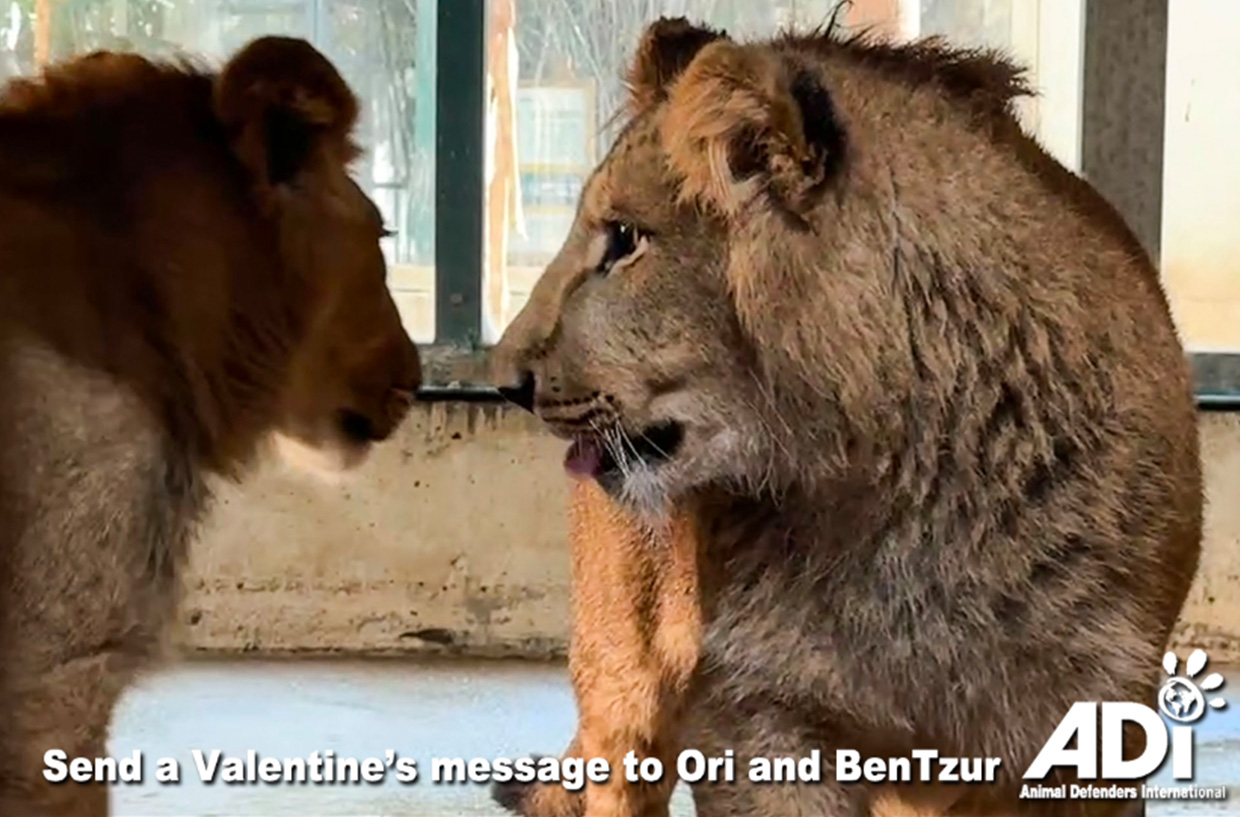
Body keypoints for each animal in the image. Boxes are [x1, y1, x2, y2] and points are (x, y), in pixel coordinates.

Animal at [490, 16, 1202, 817]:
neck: (902, 485)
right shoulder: (756, 713)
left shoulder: (1093, 728)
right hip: (626, 687)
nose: (504, 380)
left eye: (624, 239)